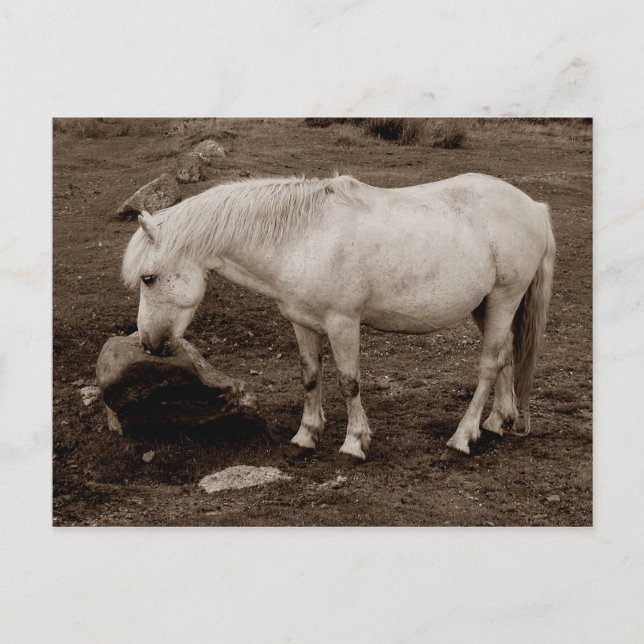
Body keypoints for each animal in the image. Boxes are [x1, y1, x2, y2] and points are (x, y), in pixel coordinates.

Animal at [122, 173, 555, 460]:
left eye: (148, 277)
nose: (149, 343)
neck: (303, 238)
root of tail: (533, 207)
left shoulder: (343, 322)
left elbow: (349, 381)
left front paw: (354, 442)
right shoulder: (302, 322)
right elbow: (310, 376)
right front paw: (306, 435)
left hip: (504, 298)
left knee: (488, 365)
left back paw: (463, 437)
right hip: (487, 305)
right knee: (505, 356)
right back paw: (497, 422)